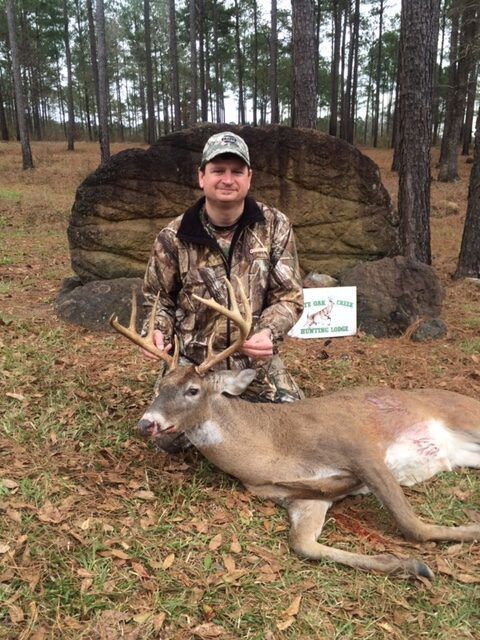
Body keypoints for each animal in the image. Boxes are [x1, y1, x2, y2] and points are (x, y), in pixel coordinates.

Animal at [110, 278, 480, 579]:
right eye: (159, 388)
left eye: (192, 390)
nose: (146, 423)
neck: (274, 450)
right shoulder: (301, 498)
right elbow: (303, 545)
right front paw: (406, 565)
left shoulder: (359, 447)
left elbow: (413, 525)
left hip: (465, 415)